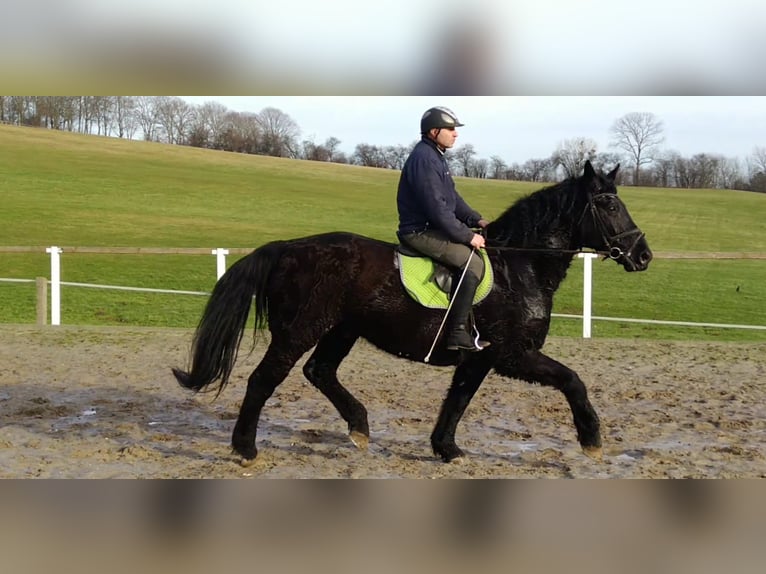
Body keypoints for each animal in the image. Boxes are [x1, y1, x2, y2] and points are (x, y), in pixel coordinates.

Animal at [174, 160, 656, 466]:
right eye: (609, 205)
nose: (643, 255)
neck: (519, 267)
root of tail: (287, 248)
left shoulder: (479, 358)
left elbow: (458, 400)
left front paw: (447, 449)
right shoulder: (513, 355)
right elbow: (573, 381)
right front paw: (592, 440)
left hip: (341, 331)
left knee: (319, 372)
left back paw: (359, 427)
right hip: (299, 330)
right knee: (264, 379)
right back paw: (246, 450)